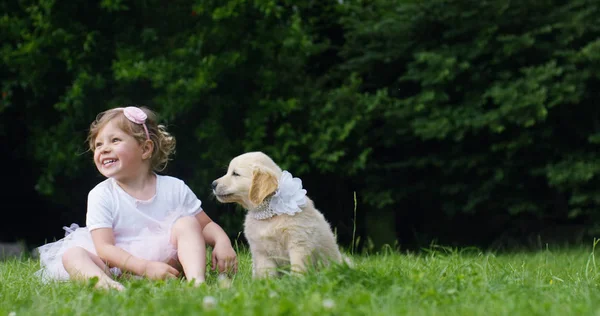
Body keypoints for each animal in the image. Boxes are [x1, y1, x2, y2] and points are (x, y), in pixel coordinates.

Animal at [212, 152, 344, 278]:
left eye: (235, 174)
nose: (213, 184)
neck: (269, 213)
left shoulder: (299, 244)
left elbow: (298, 268)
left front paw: (296, 281)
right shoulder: (261, 252)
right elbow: (267, 275)